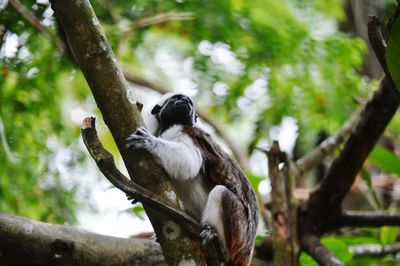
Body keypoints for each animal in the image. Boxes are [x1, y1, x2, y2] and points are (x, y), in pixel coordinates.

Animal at [128, 92, 260, 264]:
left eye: (189, 101)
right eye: (177, 98)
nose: (185, 101)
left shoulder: (186, 133)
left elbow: (187, 162)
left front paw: (149, 141)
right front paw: (136, 195)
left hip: (240, 232)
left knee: (221, 193)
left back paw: (217, 242)